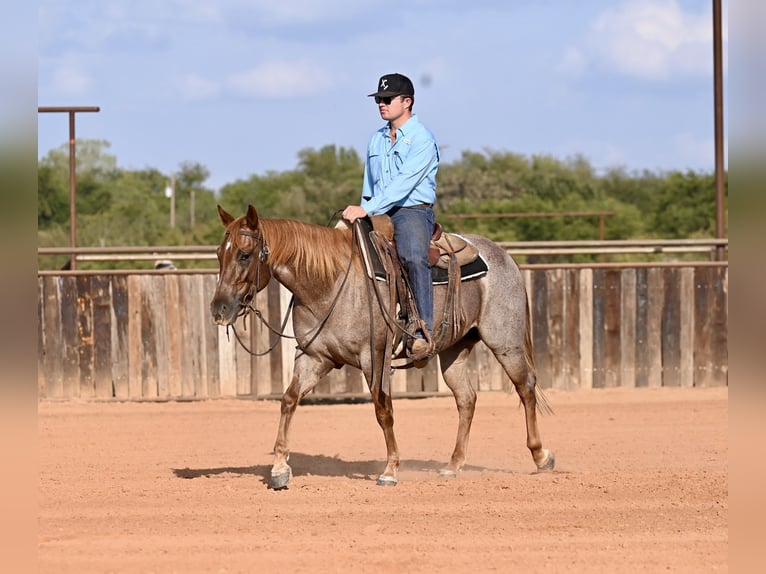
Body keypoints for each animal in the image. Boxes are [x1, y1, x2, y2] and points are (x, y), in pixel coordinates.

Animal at [210, 204, 555, 489]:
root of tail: (503, 256)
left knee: (525, 387)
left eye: (244, 255)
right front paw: (280, 468)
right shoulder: (314, 357)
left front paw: (390, 469)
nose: (219, 309)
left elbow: (382, 409)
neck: (331, 282)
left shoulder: (373, 357)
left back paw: (541, 456)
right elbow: (288, 400)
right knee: (466, 399)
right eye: (218, 254)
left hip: (505, 342)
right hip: (453, 350)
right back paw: (454, 464)